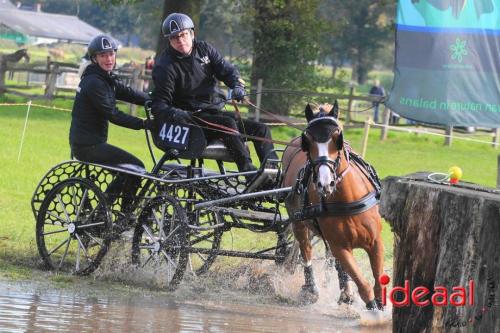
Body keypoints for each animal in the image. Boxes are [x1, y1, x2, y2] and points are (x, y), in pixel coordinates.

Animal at [284, 101, 384, 308]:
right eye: (308, 142)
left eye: (338, 138)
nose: (325, 183)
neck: (347, 200)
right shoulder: (340, 246)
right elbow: (364, 287)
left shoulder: (376, 242)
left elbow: (378, 282)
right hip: (298, 223)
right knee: (306, 251)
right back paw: (311, 289)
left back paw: (344, 291)